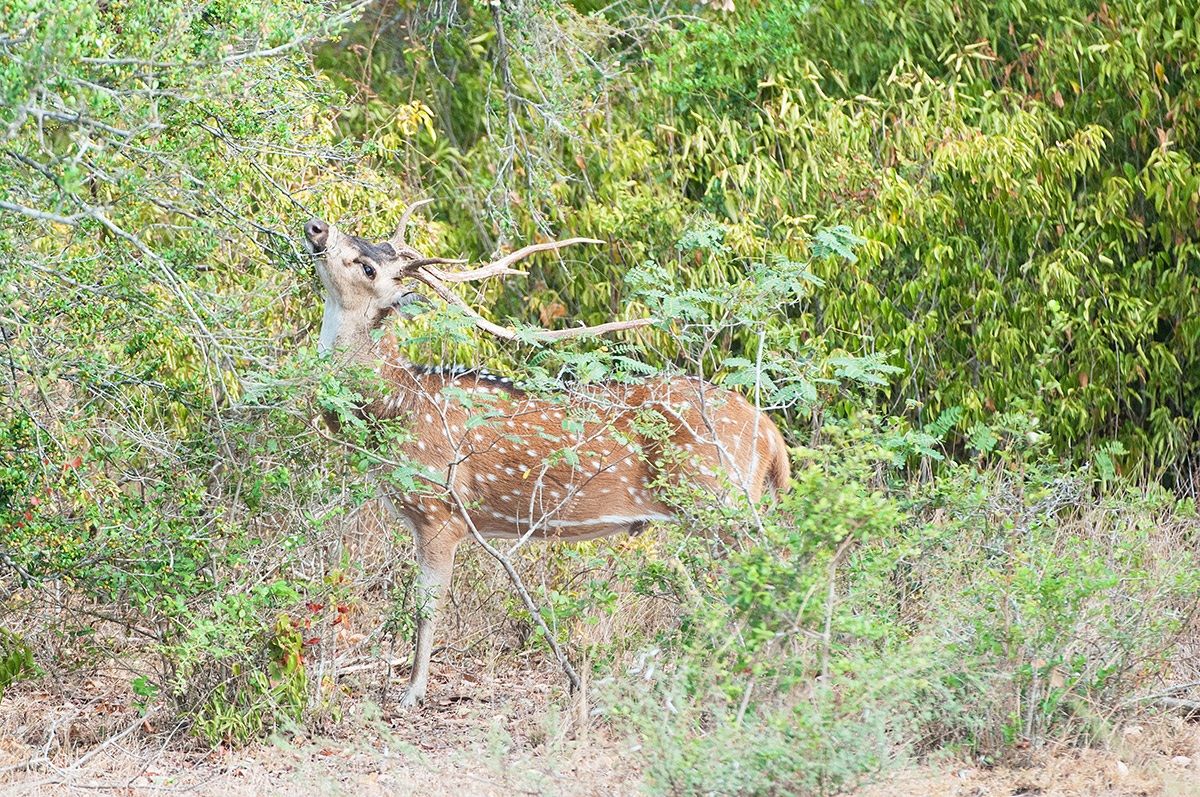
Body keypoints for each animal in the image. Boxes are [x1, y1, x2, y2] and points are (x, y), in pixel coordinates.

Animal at [302, 203, 790, 708]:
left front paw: (411, 693)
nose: (316, 226)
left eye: (367, 267)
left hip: (717, 499)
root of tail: (771, 433)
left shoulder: (439, 512)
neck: (395, 406)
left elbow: (426, 610)